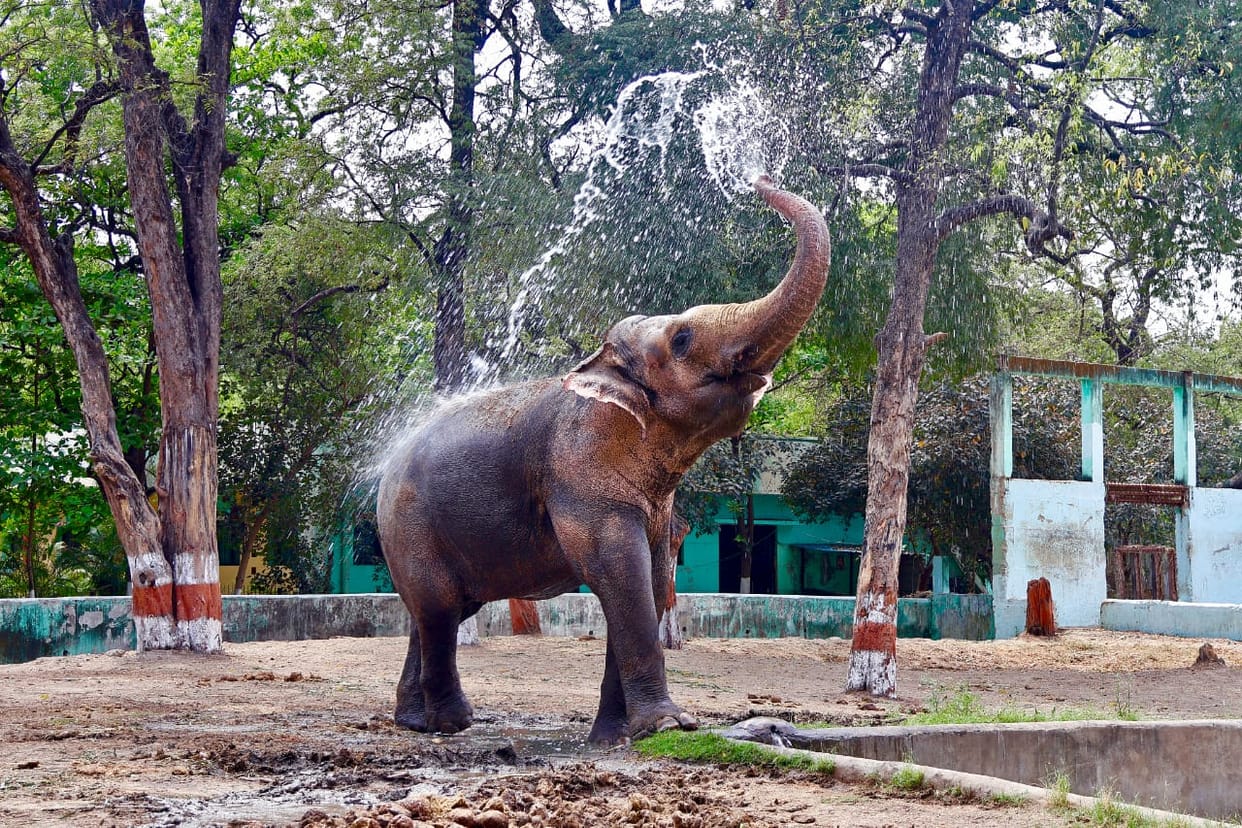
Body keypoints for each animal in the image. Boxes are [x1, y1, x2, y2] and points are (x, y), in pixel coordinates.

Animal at [376, 175, 830, 745]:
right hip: (410, 526)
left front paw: (615, 736)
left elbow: (651, 580)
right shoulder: (579, 473)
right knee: (438, 610)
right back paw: (451, 723)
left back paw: (414, 722)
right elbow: (621, 571)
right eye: (682, 339)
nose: (760, 177)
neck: (602, 369)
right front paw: (669, 724)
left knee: (436, 610)